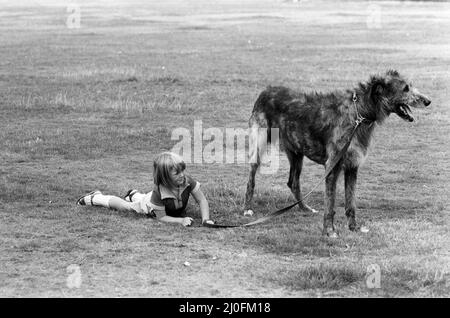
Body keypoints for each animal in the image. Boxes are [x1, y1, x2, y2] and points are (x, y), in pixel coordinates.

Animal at [244, 70, 430, 238]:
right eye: (406, 88)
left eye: (410, 86)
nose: (428, 101)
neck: (358, 113)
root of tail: (266, 91)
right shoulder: (333, 165)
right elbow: (331, 204)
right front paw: (329, 231)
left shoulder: (353, 166)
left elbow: (351, 201)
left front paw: (354, 227)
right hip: (259, 145)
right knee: (251, 179)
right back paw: (247, 209)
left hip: (297, 152)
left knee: (293, 182)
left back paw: (304, 208)